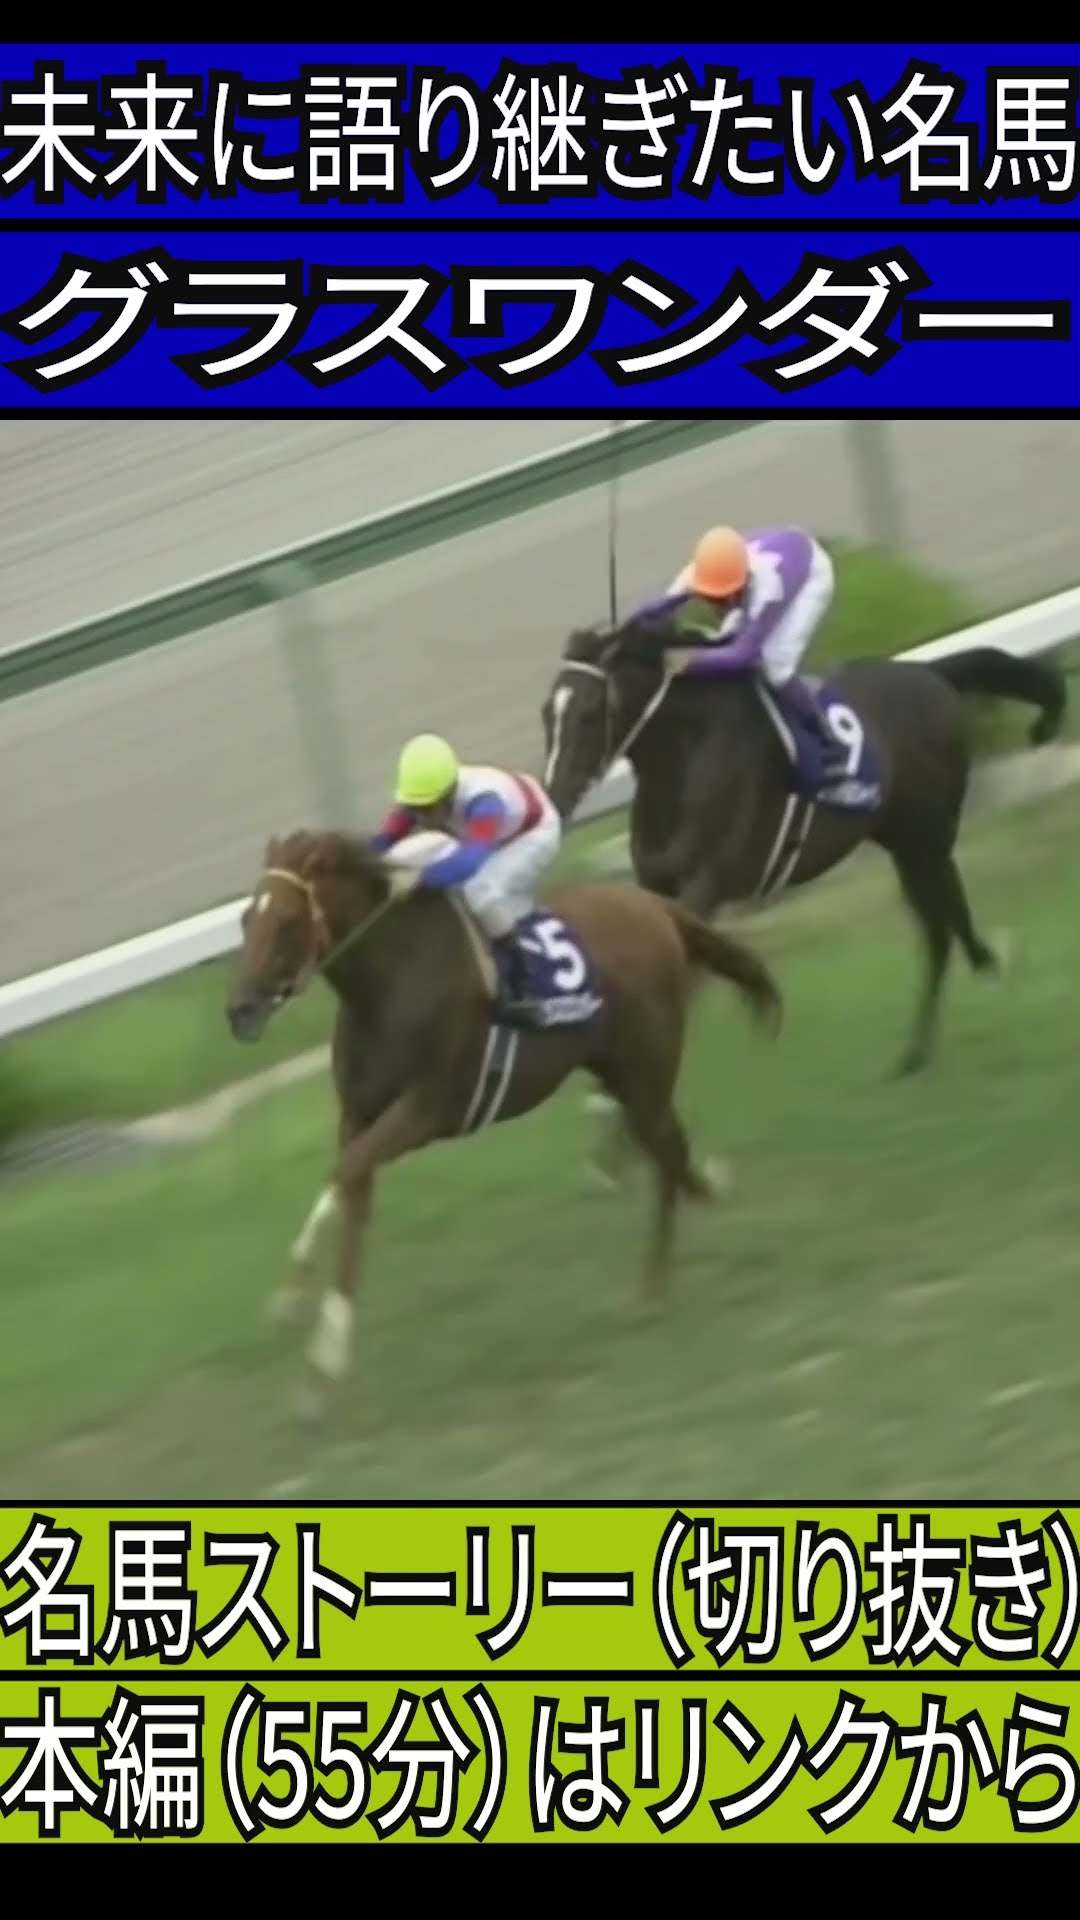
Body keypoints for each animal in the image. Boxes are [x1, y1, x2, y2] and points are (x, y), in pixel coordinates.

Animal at [224, 827, 782, 1418]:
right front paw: (319, 1376)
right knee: (667, 1152)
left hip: (644, 1070)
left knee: (666, 1154)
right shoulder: (359, 1115)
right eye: (246, 920)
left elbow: (344, 1171)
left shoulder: (428, 1108)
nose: (239, 1010)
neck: (391, 982)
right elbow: (351, 1207)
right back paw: (687, 1225)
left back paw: (655, 1282)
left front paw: (290, 1297)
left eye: (287, 919)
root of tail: (653, 905)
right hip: (622, 1074)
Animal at [540, 624, 1068, 1188]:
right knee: (946, 914)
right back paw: (961, 1001)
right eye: (548, 714)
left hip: (922, 833)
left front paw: (622, 1137)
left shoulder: (705, 889)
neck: (685, 756)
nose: (554, 798)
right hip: (903, 835)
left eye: (588, 712)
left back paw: (930, 1034)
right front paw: (608, 1132)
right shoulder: (656, 889)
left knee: (938, 926)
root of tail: (930, 673)